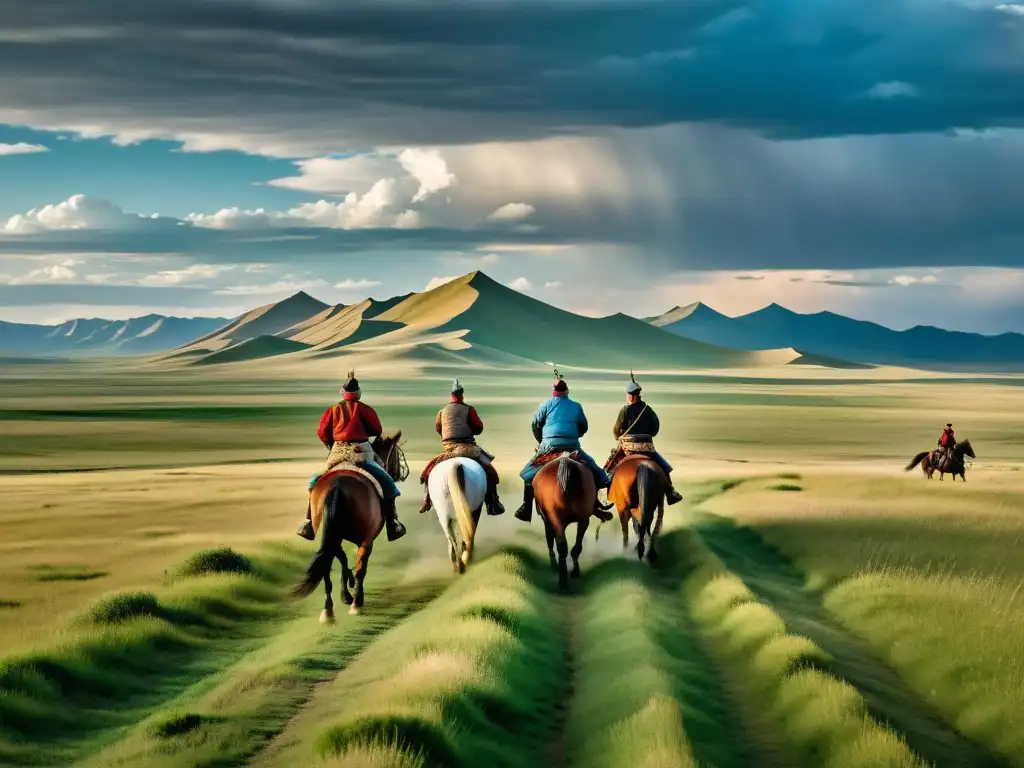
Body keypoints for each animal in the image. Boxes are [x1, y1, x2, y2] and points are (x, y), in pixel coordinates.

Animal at [290, 434, 405, 626]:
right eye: (398, 454)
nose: (404, 472)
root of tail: (337, 484)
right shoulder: (366, 539)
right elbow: (357, 566)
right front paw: (353, 596)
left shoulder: (333, 535)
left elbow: (341, 558)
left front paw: (346, 594)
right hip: (364, 539)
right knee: (358, 567)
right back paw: (355, 604)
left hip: (329, 532)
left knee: (326, 565)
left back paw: (328, 611)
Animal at [532, 456, 598, 589]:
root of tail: (565, 461)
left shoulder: (547, 520)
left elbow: (549, 539)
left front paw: (553, 565)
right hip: (583, 519)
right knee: (574, 546)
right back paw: (573, 573)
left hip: (555, 519)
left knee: (561, 545)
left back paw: (562, 578)